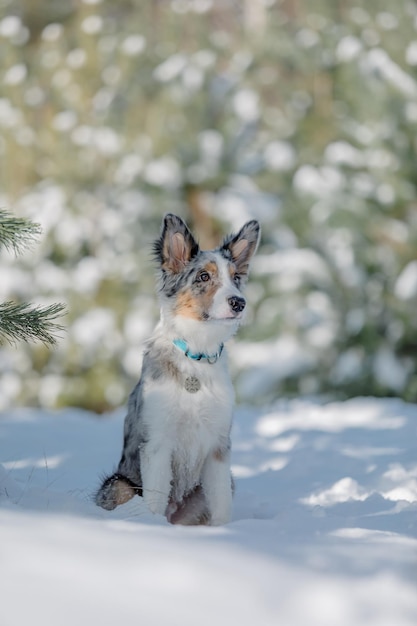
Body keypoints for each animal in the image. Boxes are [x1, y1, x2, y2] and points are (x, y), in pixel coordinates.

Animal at [96, 212, 260, 524]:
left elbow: (221, 505)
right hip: (119, 484)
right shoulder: (157, 443)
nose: (239, 303)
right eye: (204, 276)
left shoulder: (219, 447)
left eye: (235, 278)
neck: (196, 356)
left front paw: (226, 532)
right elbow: (154, 500)